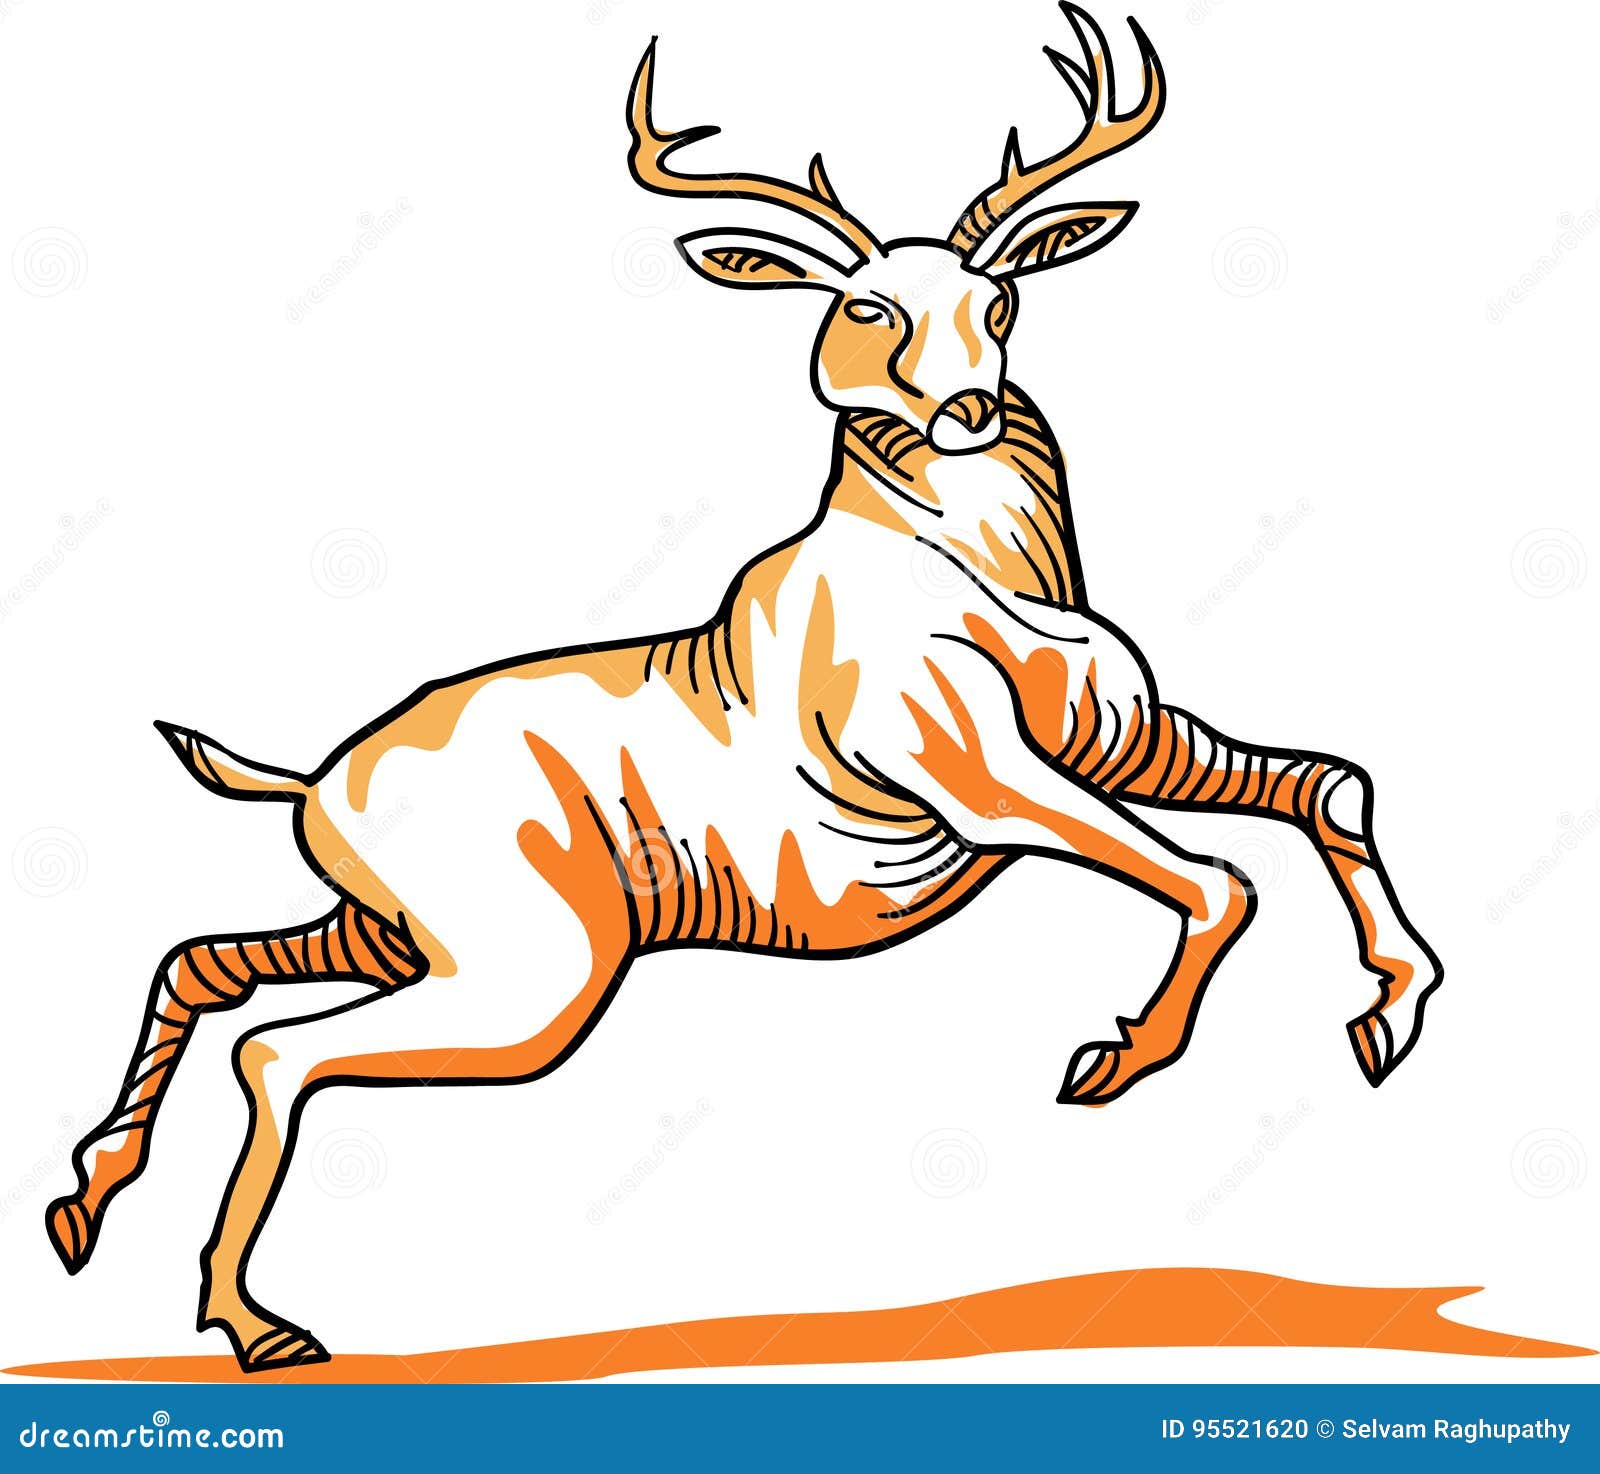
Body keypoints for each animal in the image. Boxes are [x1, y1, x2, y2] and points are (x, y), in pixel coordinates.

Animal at [46, 5, 1441, 1372]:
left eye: (994, 299)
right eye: (867, 308)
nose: (967, 410)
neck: (982, 573)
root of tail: (318, 780)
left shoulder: (1123, 745)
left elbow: (1327, 786)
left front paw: (1391, 1014)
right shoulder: (978, 784)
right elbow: (1218, 879)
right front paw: (1109, 1058)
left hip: (405, 938)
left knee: (207, 966)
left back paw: (84, 1205)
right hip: (529, 984)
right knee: (280, 1048)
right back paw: (255, 1324)